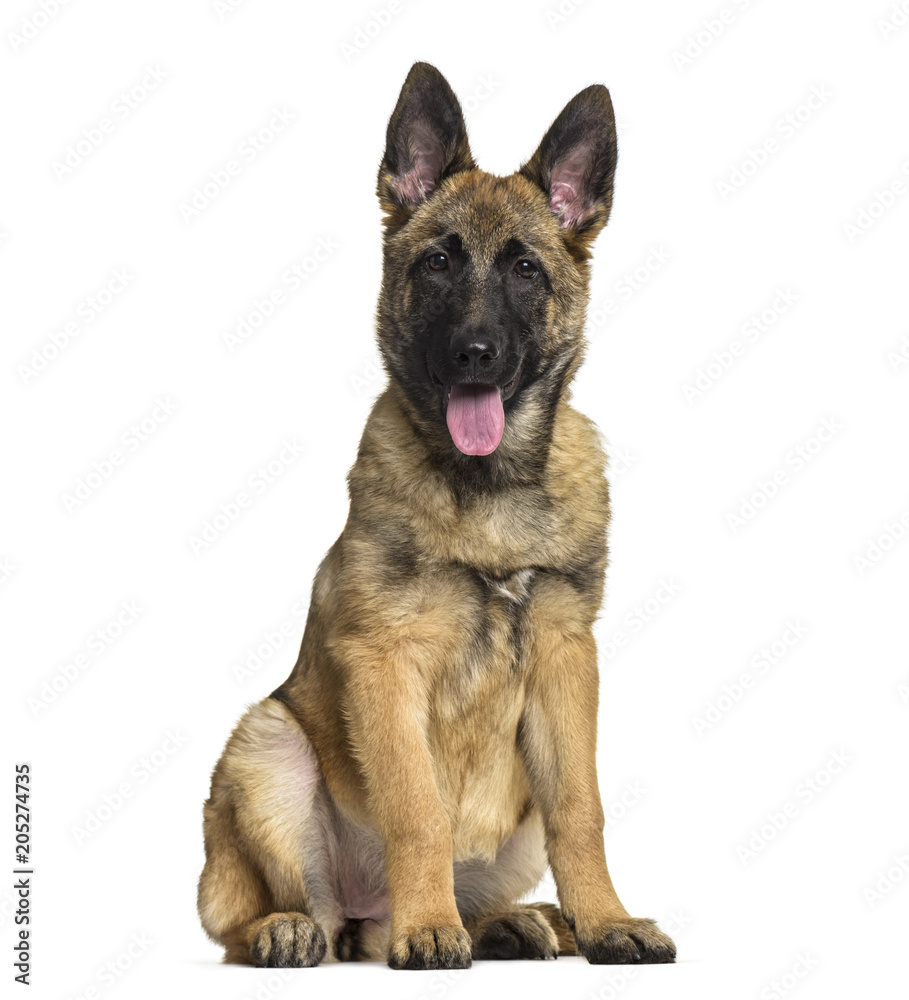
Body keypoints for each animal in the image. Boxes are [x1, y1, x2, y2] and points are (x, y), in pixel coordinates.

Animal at [200, 62, 680, 968]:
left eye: (525, 268)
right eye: (436, 264)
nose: (475, 354)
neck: (487, 487)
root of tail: (364, 915)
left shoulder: (566, 659)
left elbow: (582, 811)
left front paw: (605, 920)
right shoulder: (384, 663)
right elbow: (416, 809)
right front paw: (429, 930)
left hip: (511, 819)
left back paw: (519, 922)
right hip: (266, 744)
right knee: (258, 918)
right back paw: (317, 926)